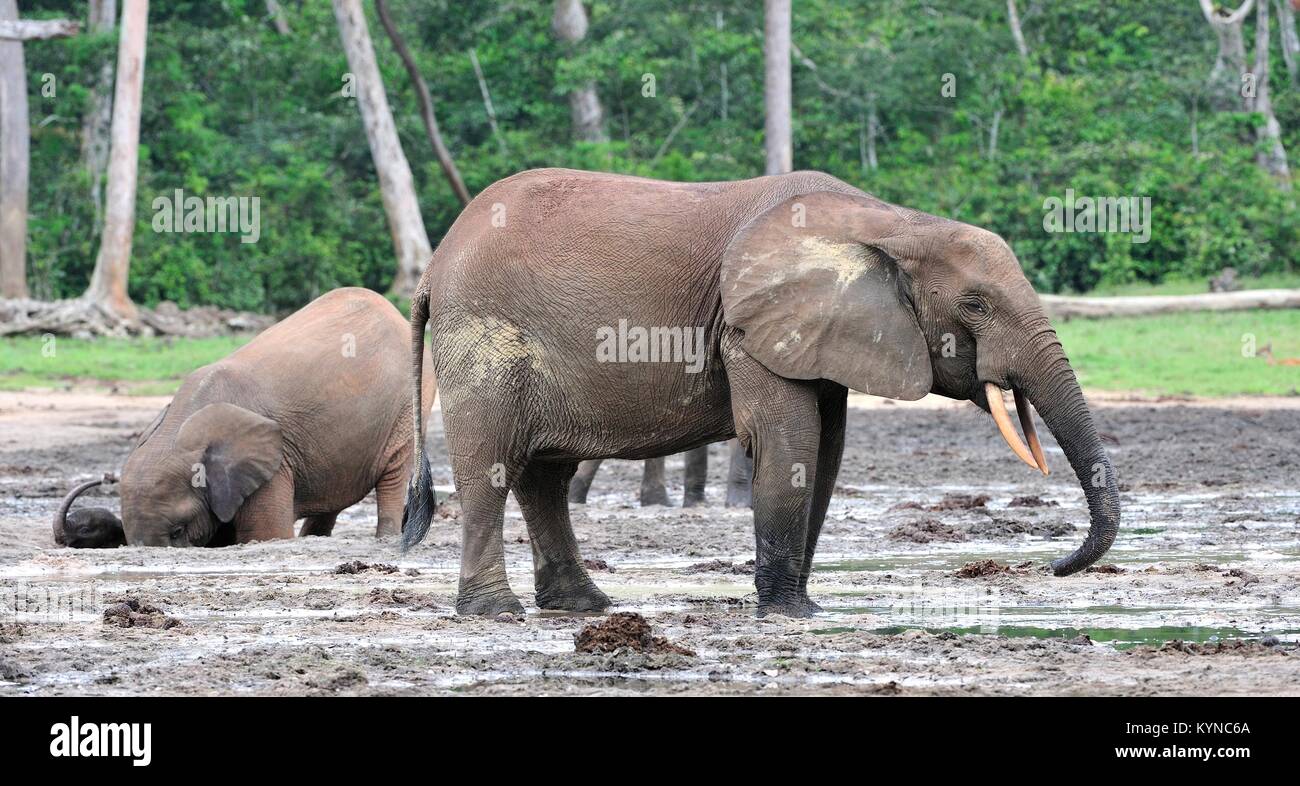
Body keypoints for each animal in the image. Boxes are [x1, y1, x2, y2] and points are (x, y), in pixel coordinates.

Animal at [55, 288, 435, 547]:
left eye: (178, 530)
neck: (181, 427)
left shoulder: (273, 465)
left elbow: (264, 534)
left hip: (408, 406)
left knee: (392, 474)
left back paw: (385, 537)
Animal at [400, 168, 1120, 618]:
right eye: (975, 305)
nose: (1055, 566)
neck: (890, 223)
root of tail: (435, 265)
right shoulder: (746, 323)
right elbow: (788, 440)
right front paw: (790, 612)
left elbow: (825, 452)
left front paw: (805, 604)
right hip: (484, 332)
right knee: (491, 464)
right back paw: (497, 612)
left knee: (544, 473)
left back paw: (585, 606)